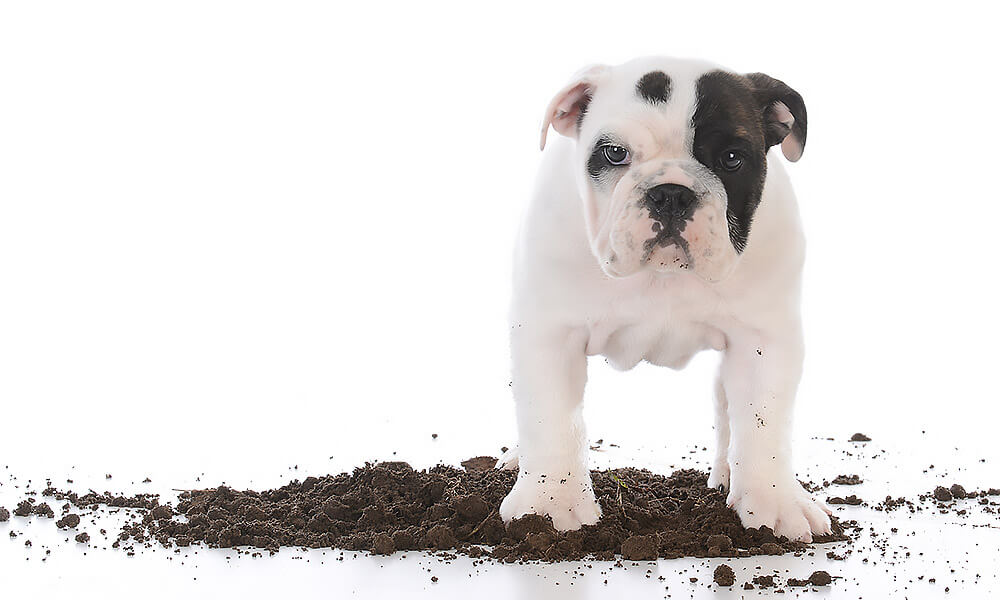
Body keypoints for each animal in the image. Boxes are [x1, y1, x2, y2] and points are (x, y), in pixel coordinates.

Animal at [496, 57, 832, 544]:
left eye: (732, 158)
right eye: (614, 154)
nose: (671, 193)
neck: (662, 277)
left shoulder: (764, 341)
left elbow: (763, 422)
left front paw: (775, 505)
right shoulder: (549, 335)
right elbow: (553, 419)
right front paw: (549, 507)